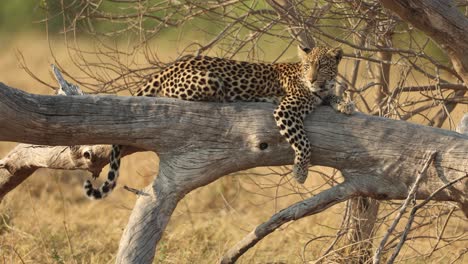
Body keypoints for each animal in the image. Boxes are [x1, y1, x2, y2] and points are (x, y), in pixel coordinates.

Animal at [84, 45, 354, 199]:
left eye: (323, 66)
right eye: (308, 66)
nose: (312, 79)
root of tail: (171, 66)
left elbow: (332, 97)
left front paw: (345, 103)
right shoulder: (286, 110)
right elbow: (304, 143)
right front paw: (300, 172)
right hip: (209, 81)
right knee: (169, 95)